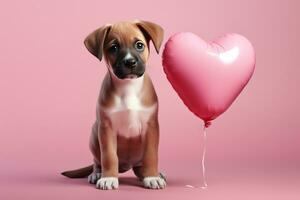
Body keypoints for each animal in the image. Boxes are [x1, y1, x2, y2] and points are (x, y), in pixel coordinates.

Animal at [61, 20, 166, 191]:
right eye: (114, 48)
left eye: (139, 45)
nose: (130, 62)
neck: (128, 87)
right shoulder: (106, 128)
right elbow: (109, 156)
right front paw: (108, 178)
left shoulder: (151, 127)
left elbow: (151, 155)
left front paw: (152, 176)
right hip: (94, 134)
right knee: (97, 161)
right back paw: (97, 174)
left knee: (140, 167)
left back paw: (150, 174)